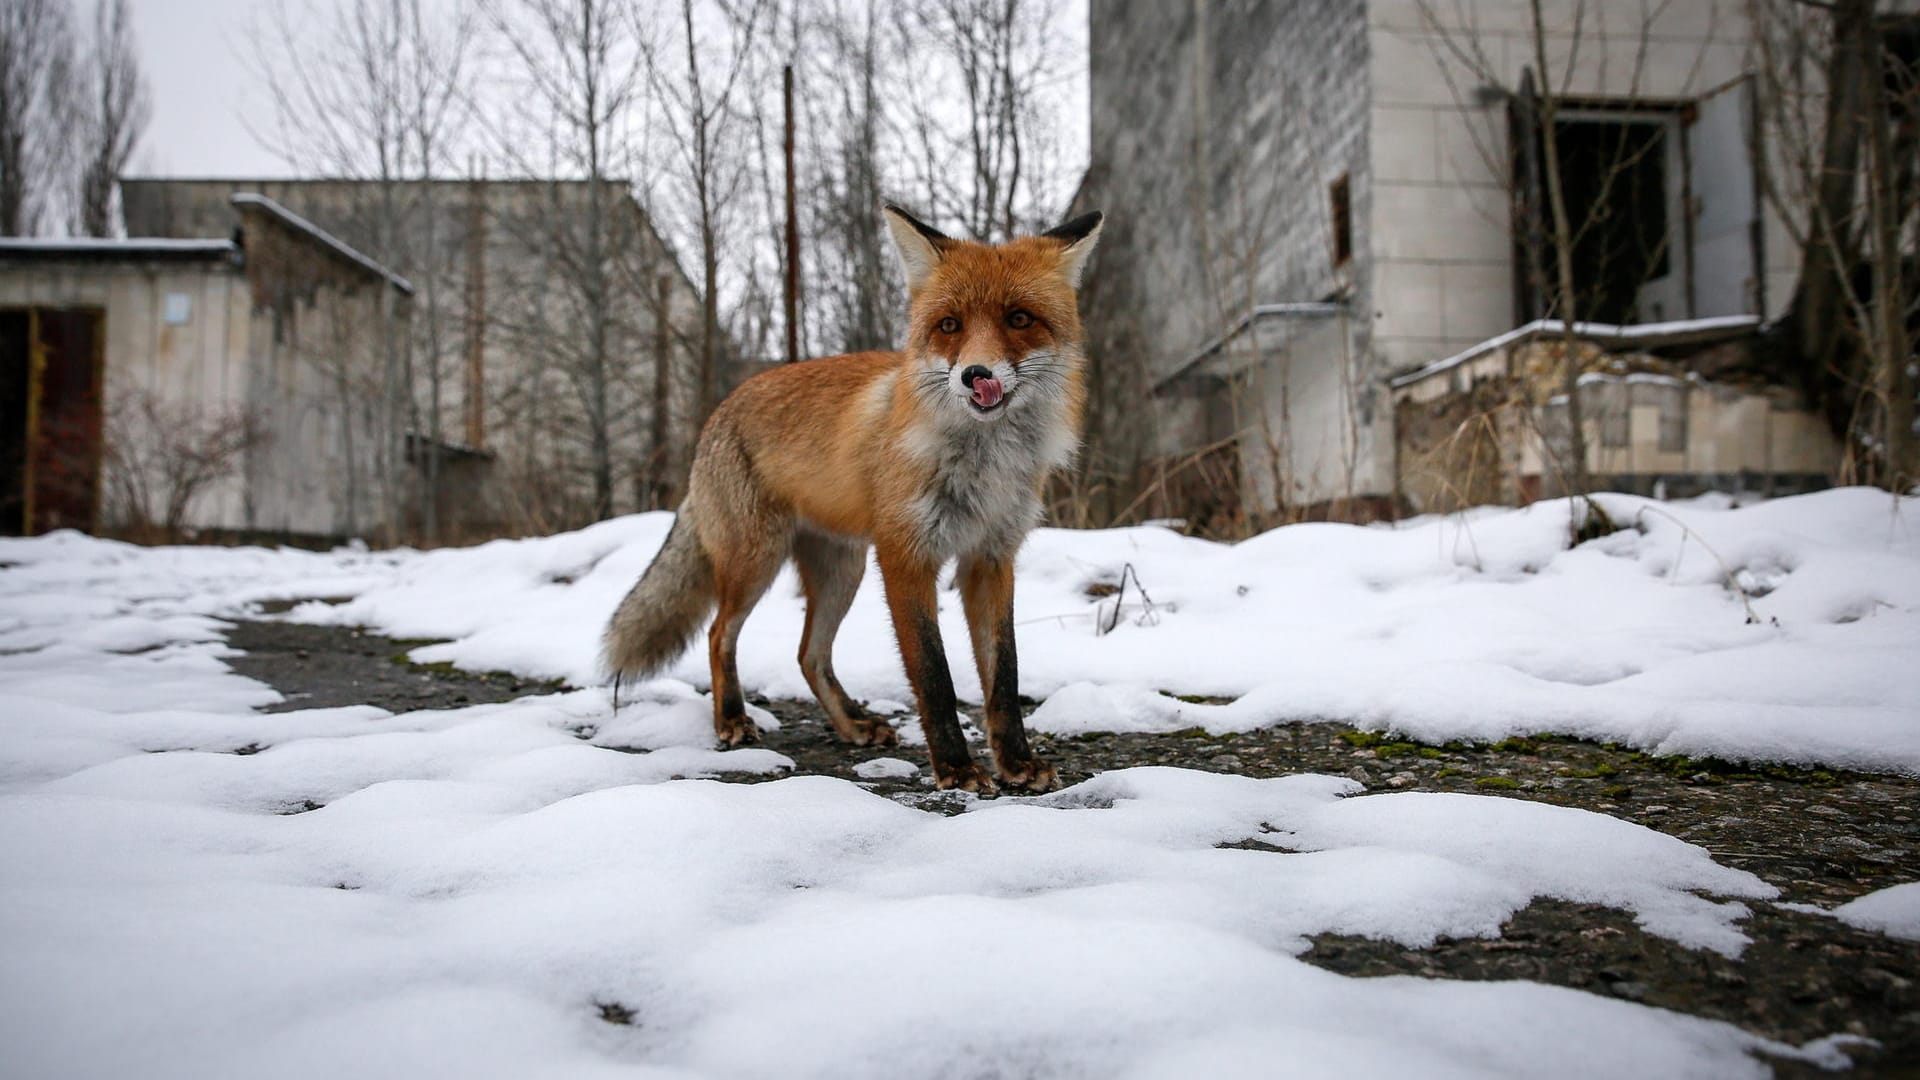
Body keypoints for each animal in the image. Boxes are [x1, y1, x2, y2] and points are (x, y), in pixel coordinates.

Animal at [606, 203, 1105, 791]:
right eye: (949, 326)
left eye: (1020, 319)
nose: (974, 374)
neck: (985, 466)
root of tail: (719, 411)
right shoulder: (905, 556)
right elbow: (933, 676)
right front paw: (955, 767)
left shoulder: (991, 557)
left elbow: (1003, 676)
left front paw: (1015, 762)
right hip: (756, 561)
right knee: (717, 633)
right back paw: (731, 719)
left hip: (842, 571)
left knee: (808, 654)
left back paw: (852, 725)